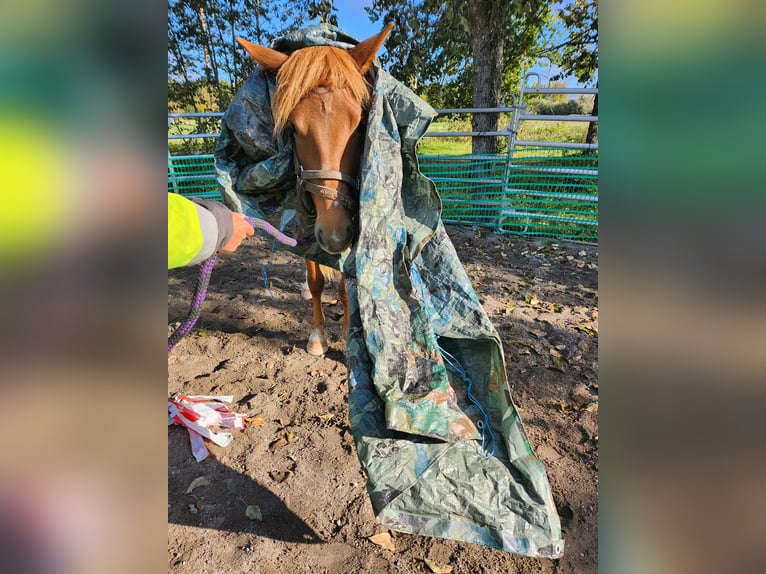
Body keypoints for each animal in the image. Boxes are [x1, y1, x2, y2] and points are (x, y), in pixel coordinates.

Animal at [238, 24, 396, 356]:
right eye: (293, 129)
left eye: (360, 125)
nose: (334, 236)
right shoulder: (308, 223)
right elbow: (314, 282)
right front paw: (318, 334)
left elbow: (345, 286)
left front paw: (348, 337)